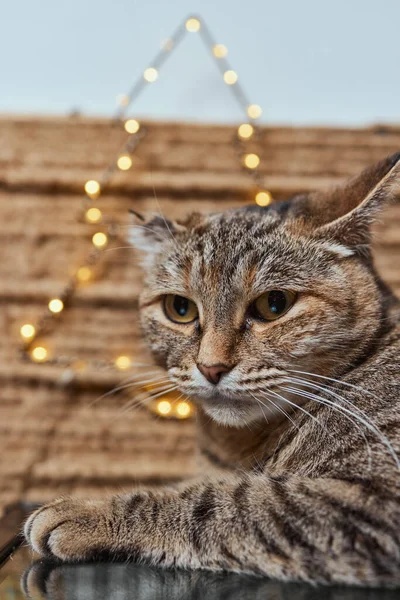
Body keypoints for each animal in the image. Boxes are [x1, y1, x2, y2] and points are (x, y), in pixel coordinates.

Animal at [24, 154, 400, 584]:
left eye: (274, 304)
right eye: (179, 308)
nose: (211, 367)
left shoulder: (370, 498)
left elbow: (223, 500)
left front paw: (88, 510)